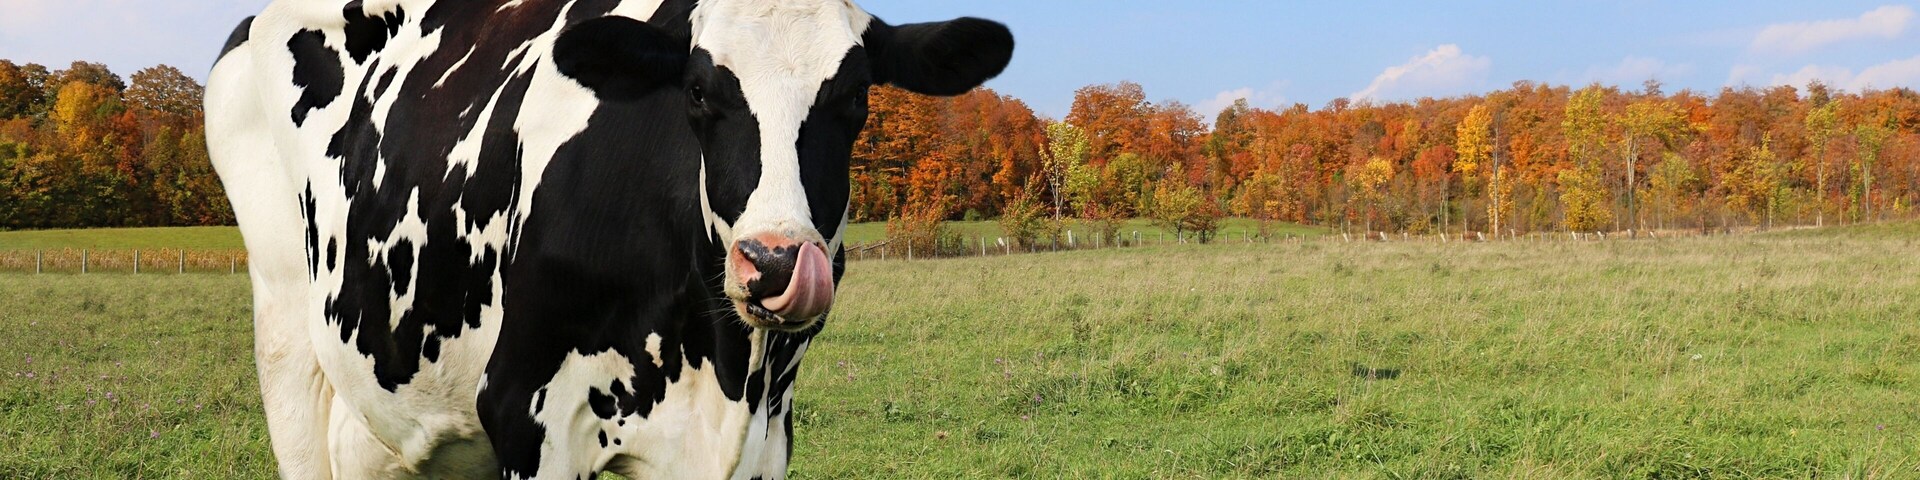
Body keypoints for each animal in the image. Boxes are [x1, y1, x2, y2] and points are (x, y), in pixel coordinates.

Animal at [204, 0, 1012, 477]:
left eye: (855, 98)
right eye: (697, 92)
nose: (776, 261)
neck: (723, 367)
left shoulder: (765, 436)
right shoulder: (526, 413)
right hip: (287, 340)